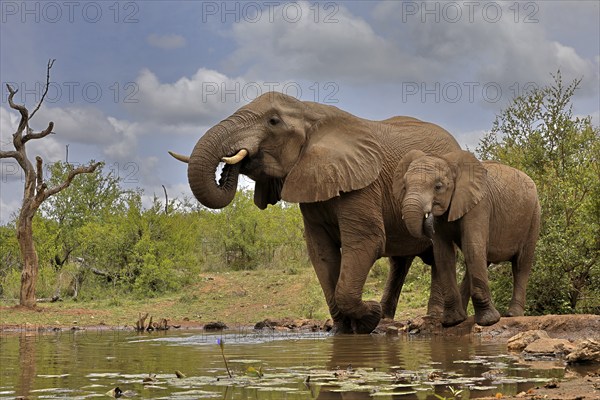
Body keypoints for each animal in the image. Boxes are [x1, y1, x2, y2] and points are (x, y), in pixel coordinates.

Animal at [171, 92, 462, 332]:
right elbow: (321, 252)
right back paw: (388, 318)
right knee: (400, 261)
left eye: (273, 121)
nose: (230, 164)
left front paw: (369, 317)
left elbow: (365, 242)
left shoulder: (362, 185)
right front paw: (346, 329)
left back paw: (430, 319)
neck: (310, 112)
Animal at [392, 148, 540, 326]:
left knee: (521, 264)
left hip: (534, 216)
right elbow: (443, 254)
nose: (427, 218)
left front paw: (489, 321)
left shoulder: (479, 205)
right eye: (405, 186)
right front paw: (452, 322)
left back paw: (512, 314)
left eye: (438, 187)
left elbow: (472, 246)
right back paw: (463, 315)